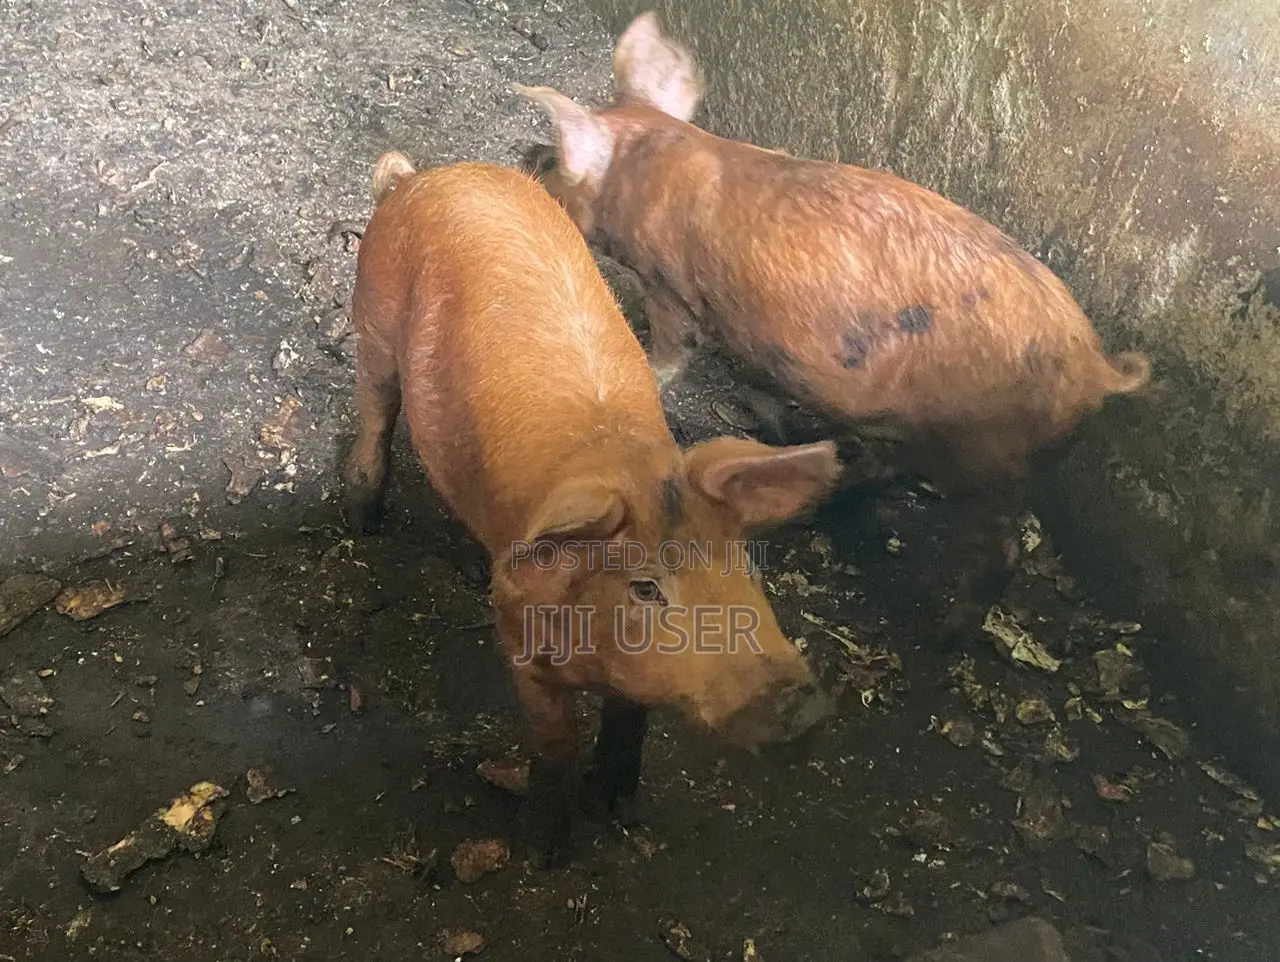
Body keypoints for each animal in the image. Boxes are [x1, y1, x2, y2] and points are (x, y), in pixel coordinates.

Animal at [340, 151, 843, 866]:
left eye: (743, 565)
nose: (798, 707)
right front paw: (543, 852)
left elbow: (630, 720)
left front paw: (619, 810)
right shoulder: (522, 643)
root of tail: (422, 178)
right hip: (375, 320)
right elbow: (557, 744)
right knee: (377, 413)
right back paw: (362, 519)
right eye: (646, 588)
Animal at [510, 11, 1152, 642]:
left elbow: (671, 355)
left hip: (990, 452)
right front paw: (771, 427)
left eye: (558, 160)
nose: (526, 154)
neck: (649, 168)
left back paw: (942, 633)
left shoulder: (672, 290)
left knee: (999, 548)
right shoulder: (750, 339)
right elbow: (758, 389)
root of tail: (1096, 368)